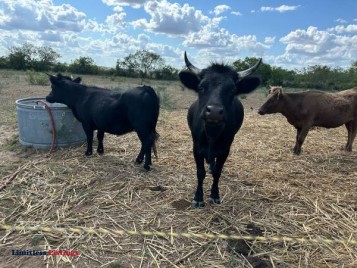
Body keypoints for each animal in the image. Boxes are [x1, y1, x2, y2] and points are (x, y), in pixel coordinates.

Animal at [179, 52, 260, 207]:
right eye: (201, 87)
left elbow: (218, 172)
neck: (212, 134)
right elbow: (200, 172)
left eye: (233, 90)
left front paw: (215, 195)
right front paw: (198, 197)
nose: (214, 112)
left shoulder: (225, 150)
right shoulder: (196, 148)